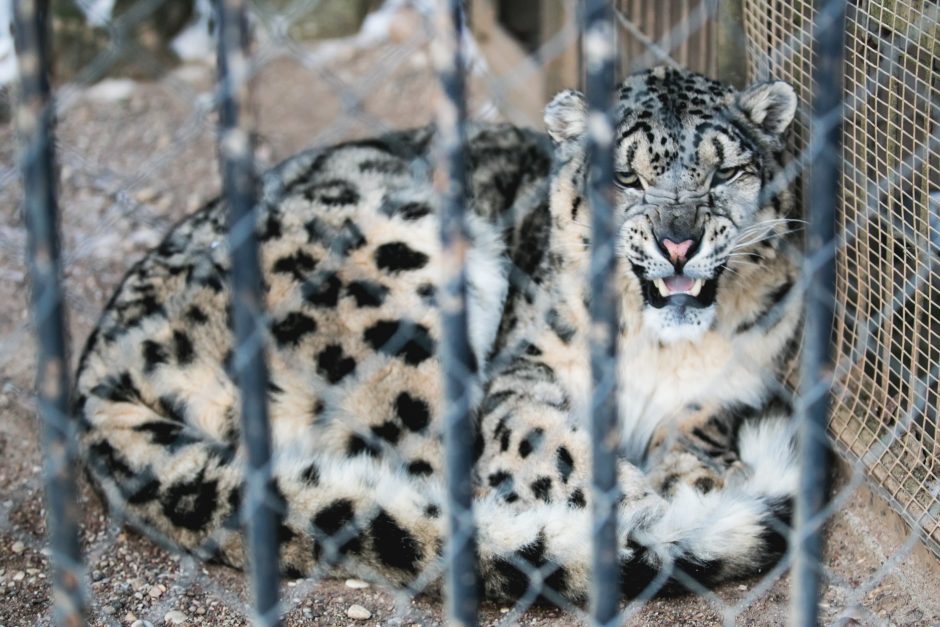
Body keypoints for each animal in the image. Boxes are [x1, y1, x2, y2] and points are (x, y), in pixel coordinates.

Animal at [75, 67, 800, 604]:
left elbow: (696, 435)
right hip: (400, 298)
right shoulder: (522, 369)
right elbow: (543, 440)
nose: (679, 241)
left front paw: (697, 478)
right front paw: (649, 501)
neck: (660, 350)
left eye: (724, 171)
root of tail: (94, 365)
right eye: (626, 177)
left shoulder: (725, 390)